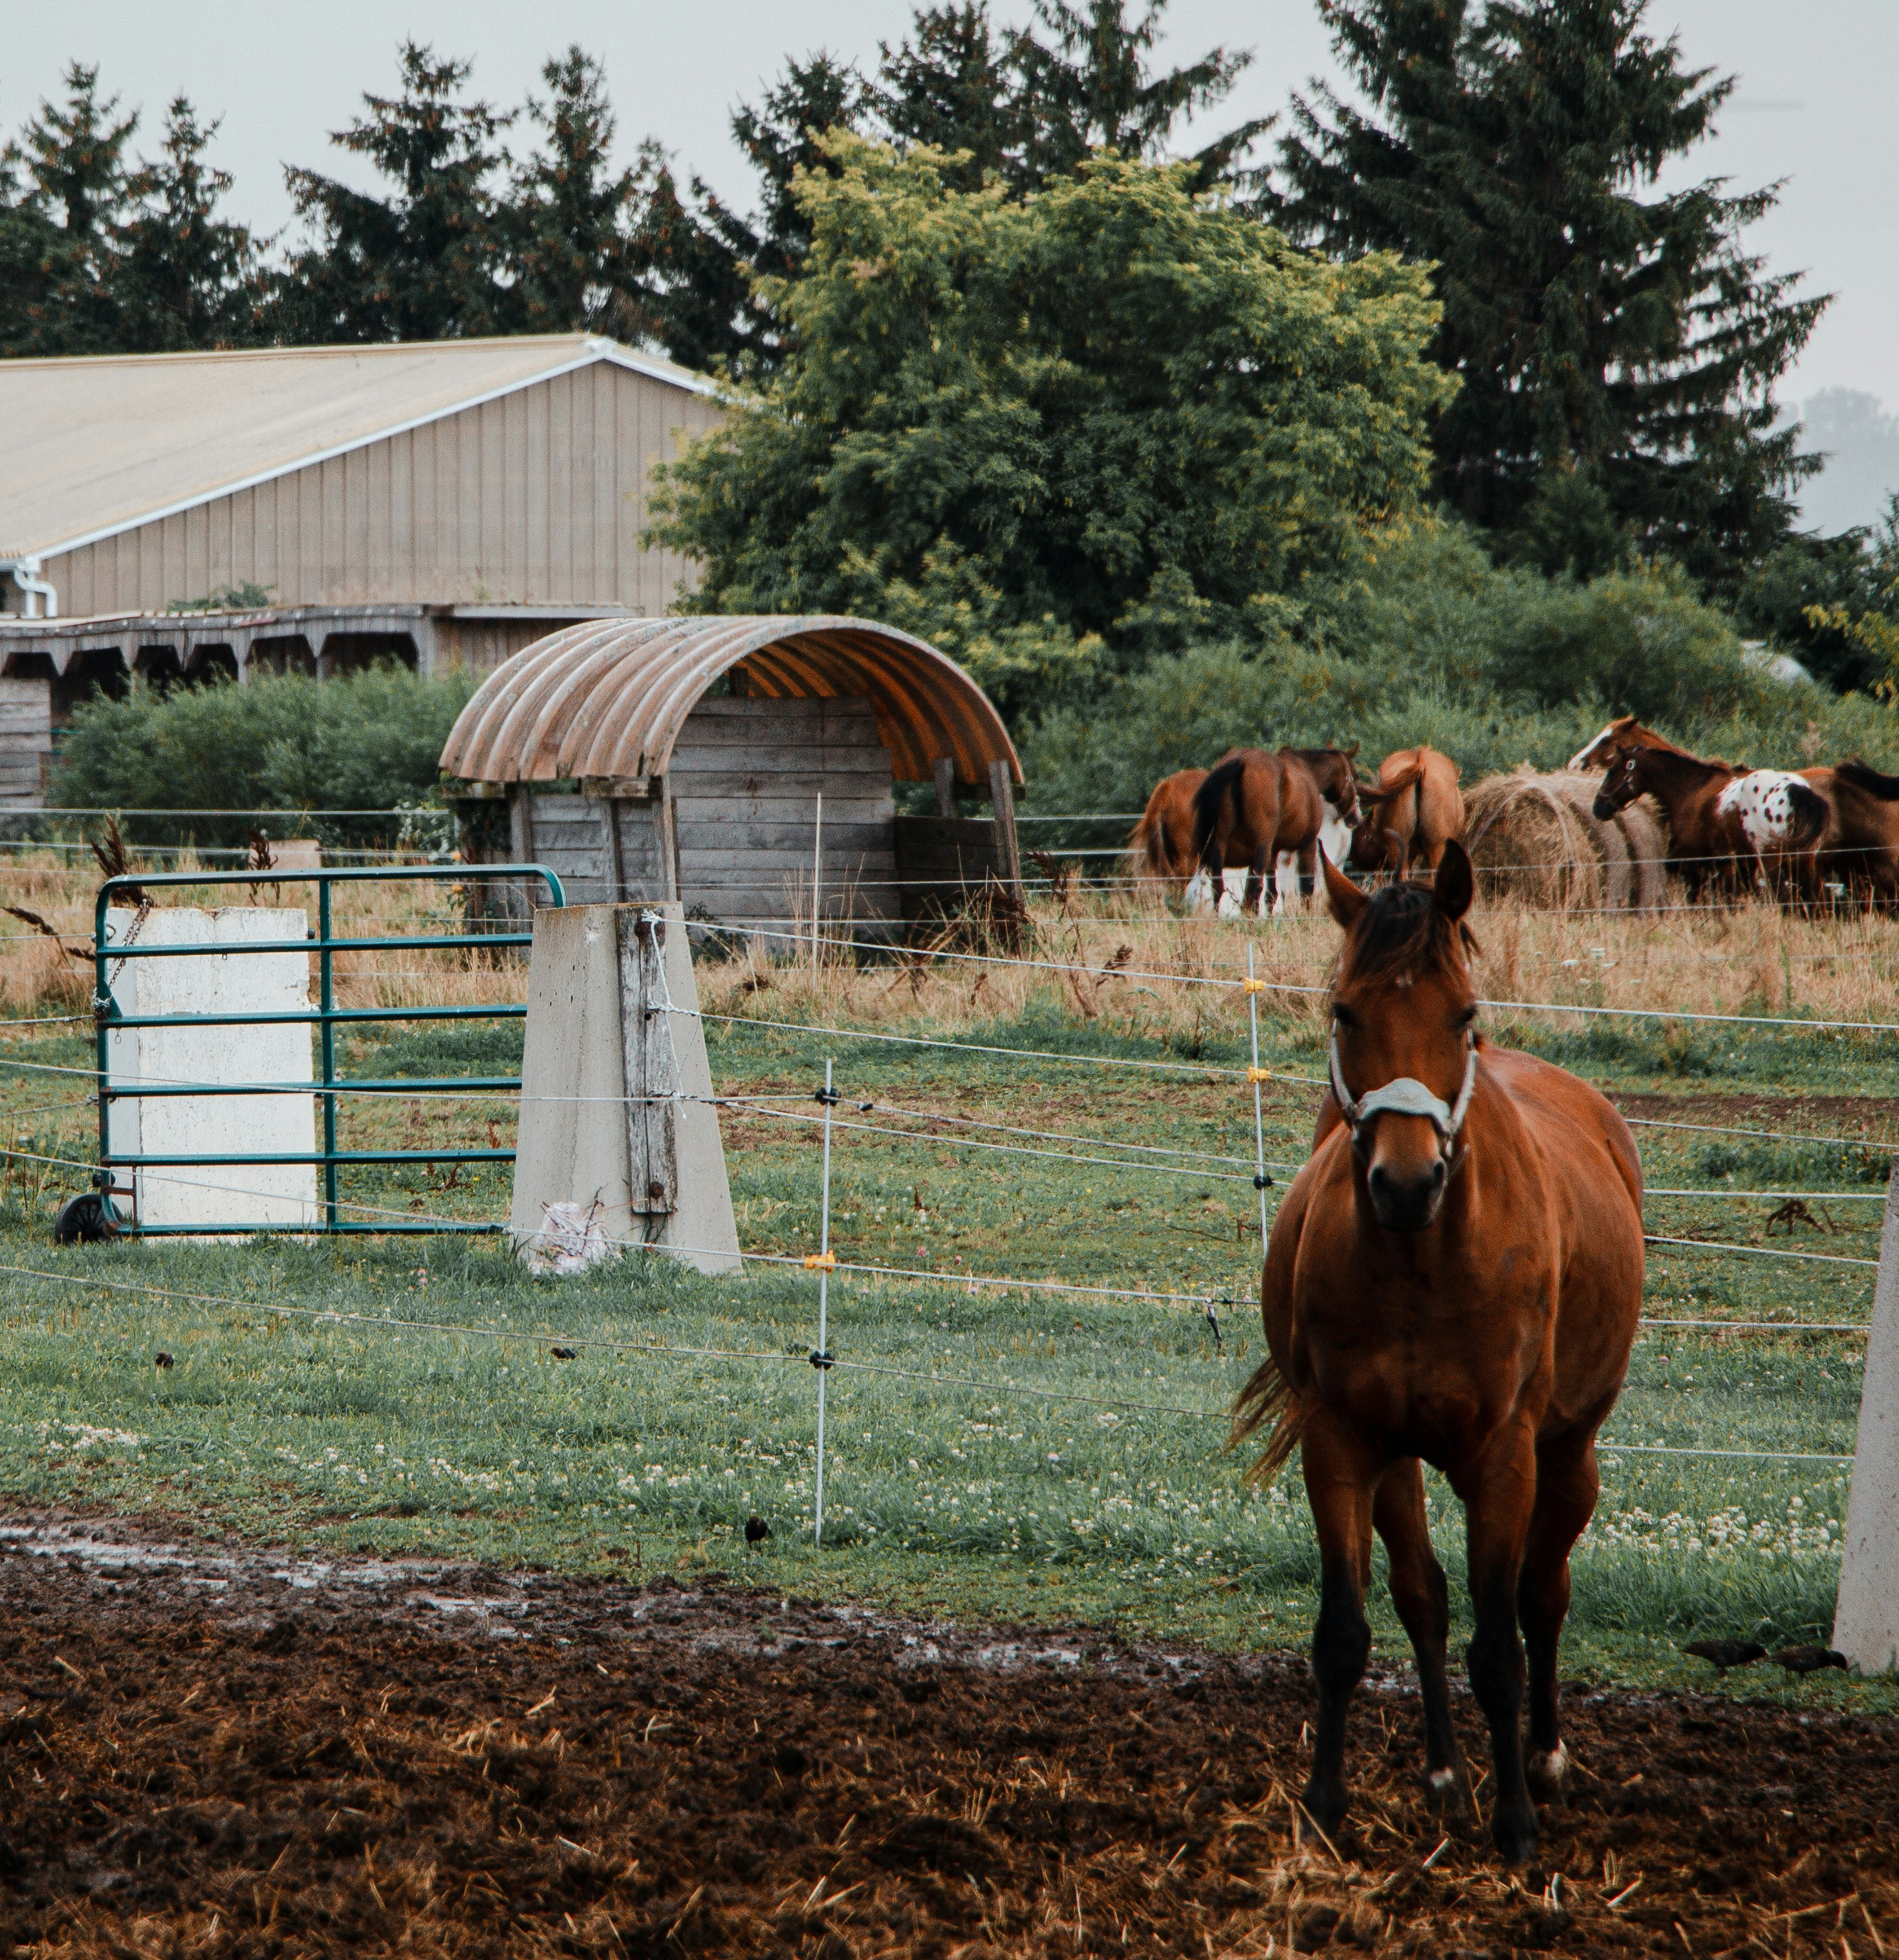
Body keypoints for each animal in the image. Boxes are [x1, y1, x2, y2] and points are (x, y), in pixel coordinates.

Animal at [1191, 747, 1362, 915]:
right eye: (1355, 776)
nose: (1356, 818)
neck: (1308, 773)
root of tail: (1241, 761)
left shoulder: (1274, 851)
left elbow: (1271, 892)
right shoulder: (1308, 844)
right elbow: (1307, 886)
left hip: (1222, 842)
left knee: (1220, 885)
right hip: (1262, 846)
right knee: (1255, 887)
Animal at [1232, 843, 1644, 1863]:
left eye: (1460, 1013)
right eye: (1345, 1011)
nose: (1406, 1182)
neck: (1421, 1263)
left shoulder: (1503, 1457)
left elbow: (1500, 1645)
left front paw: (1517, 1824)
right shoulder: (1341, 1446)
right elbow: (1350, 1629)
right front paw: (1326, 1804)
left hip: (1568, 1452)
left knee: (1543, 1594)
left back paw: (1541, 1758)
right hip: (1399, 1464)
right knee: (1423, 1592)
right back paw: (1447, 1774)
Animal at [1592, 745, 1830, 905]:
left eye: (1612, 772)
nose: (1597, 807)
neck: (1691, 789)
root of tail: (1798, 791)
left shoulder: (1696, 863)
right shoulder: (1730, 863)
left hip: (1773, 862)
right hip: (1805, 862)